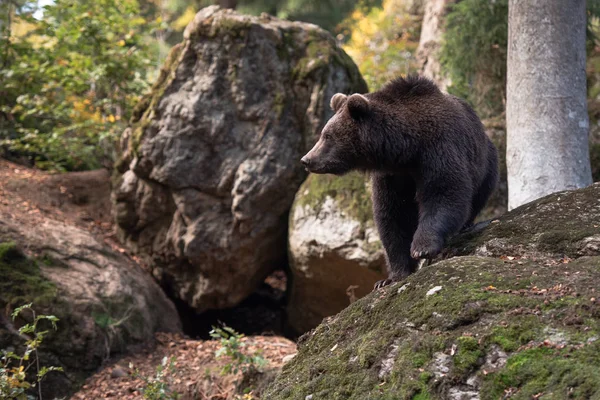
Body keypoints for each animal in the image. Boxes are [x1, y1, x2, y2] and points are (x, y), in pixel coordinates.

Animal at [302, 75, 500, 288]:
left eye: (327, 136)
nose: (306, 160)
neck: (408, 149)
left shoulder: (439, 150)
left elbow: (444, 193)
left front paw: (422, 248)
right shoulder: (392, 176)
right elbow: (393, 215)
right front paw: (391, 276)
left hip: (486, 163)